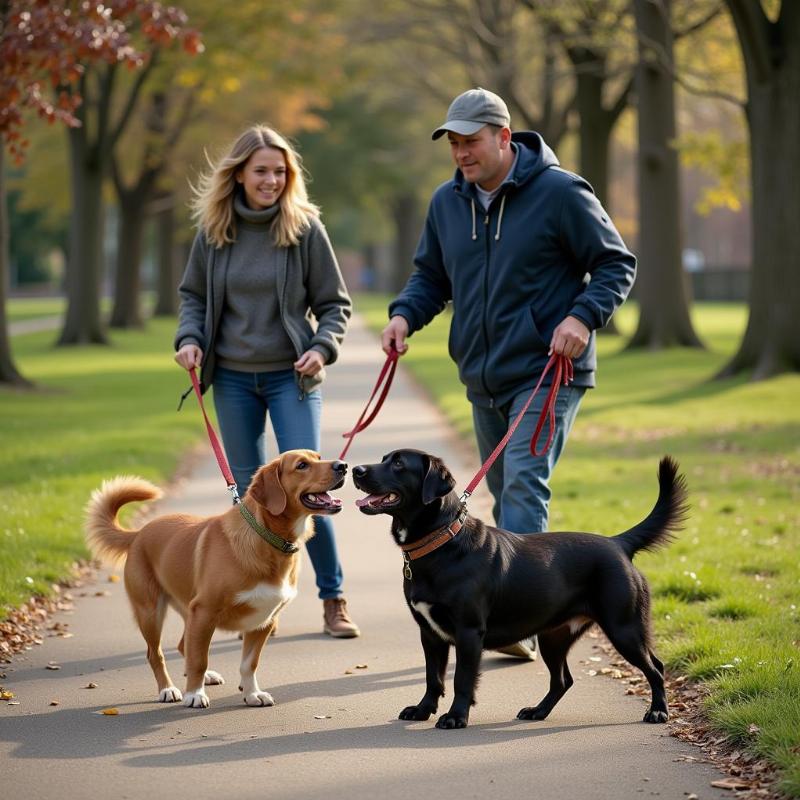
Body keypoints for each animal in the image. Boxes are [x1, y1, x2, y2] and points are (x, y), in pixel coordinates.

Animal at [85, 450, 346, 708]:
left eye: (318, 457)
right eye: (302, 465)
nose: (342, 466)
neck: (266, 538)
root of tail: (138, 534)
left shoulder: (263, 620)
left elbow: (249, 663)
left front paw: (252, 693)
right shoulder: (205, 612)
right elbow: (200, 659)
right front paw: (194, 694)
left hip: (187, 610)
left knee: (183, 645)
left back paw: (204, 678)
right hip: (151, 612)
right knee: (156, 654)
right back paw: (168, 688)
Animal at [354, 450, 692, 732]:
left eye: (399, 463)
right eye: (384, 459)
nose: (356, 469)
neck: (441, 542)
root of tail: (618, 543)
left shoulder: (468, 632)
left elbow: (462, 678)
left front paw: (456, 717)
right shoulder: (429, 633)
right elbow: (432, 678)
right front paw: (423, 710)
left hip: (624, 628)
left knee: (656, 667)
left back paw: (658, 712)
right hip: (553, 636)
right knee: (563, 680)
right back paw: (537, 711)